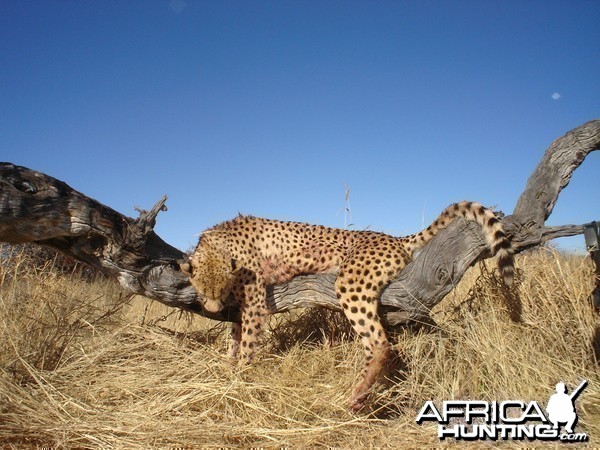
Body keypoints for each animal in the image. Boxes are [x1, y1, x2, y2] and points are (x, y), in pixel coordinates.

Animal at [180, 200, 512, 412]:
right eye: (203, 292)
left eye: (217, 290)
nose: (212, 309)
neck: (219, 243)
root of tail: (394, 238)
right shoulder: (240, 302)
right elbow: (235, 336)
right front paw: (228, 366)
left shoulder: (255, 298)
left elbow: (247, 340)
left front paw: (238, 378)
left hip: (351, 283)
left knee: (379, 343)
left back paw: (358, 393)